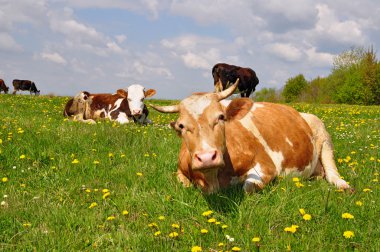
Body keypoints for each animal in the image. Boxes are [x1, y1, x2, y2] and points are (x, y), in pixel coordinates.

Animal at [151, 79, 350, 194]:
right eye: (181, 126)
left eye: (221, 117)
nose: (207, 157)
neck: (212, 180)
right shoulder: (180, 171)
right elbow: (182, 183)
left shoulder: (267, 167)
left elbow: (248, 187)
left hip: (324, 137)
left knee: (332, 172)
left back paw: (343, 186)